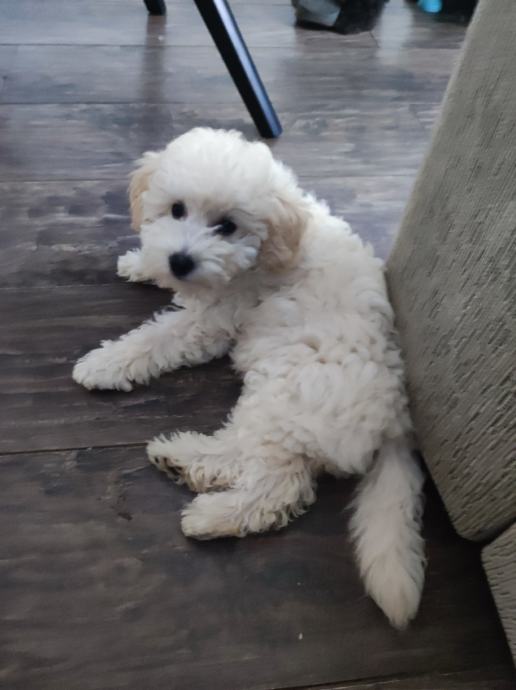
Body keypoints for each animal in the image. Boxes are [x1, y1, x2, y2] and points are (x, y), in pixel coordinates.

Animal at [73, 128, 425, 628]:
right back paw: (181, 460)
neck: (263, 256)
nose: (181, 260)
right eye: (176, 209)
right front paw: (141, 262)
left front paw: (104, 363)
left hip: (282, 397)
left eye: (227, 226)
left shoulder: (214, 320)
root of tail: (396, 419)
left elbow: (159, 337)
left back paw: (201, 495)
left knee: (272, 483)